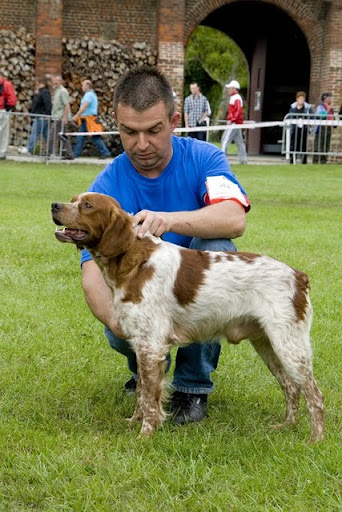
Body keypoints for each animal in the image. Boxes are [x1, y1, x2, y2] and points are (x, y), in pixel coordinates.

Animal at [50, 193, 324, 444]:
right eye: (73, 200)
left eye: (87, 205)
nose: (54, 205)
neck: (135, 259)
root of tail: (298, 276)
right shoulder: (141, 344)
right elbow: (142, 393)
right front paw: (134, 422)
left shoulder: (151, 346)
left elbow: (149, 399)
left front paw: (145, 435)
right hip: (267, 343)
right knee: (291, 387)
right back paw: (286, 426)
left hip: (289, 345)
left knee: (314, 395)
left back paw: (315, 440)